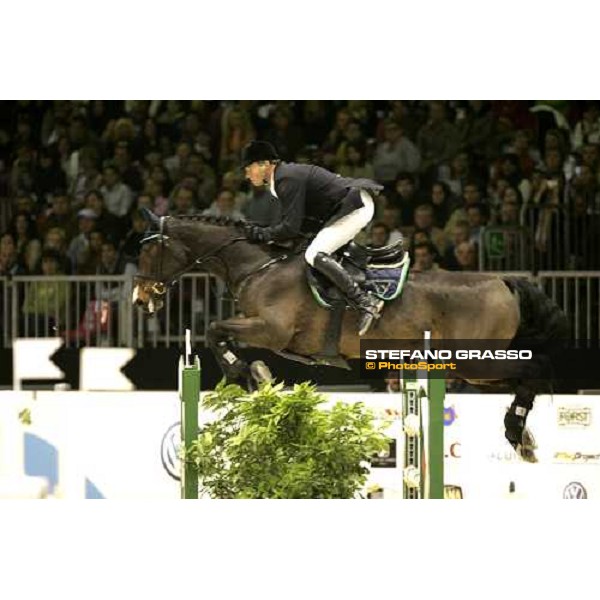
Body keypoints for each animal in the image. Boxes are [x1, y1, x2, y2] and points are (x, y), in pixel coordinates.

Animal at [134, 209, 568, 462]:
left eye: (147, 252)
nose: (140, 299)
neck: (260, 265)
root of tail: (503, 280)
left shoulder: (271, 331)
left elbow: (214, 331)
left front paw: (248, 373)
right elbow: (218, 333)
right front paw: (254, 376)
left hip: (474, 363)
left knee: (534, 370)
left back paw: (517, 433)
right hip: (473, 369)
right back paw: (522, 434)